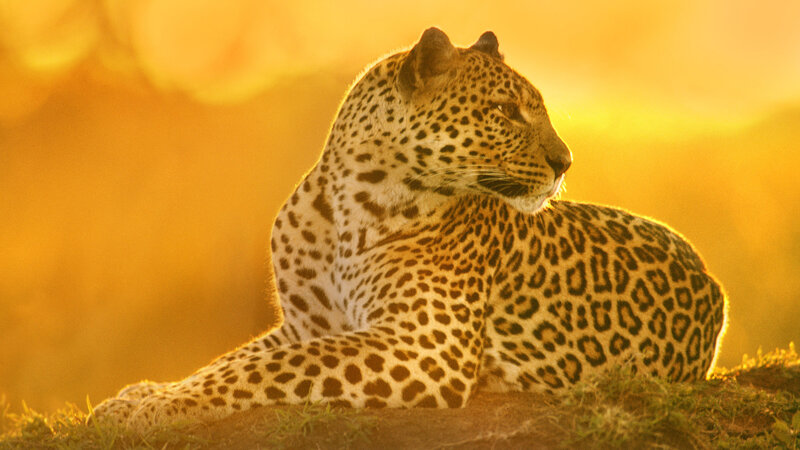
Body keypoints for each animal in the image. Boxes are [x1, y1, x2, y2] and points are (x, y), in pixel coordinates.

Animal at [92, 28, 728, 430]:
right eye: (506, 111)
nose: (565, 162)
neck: (344, 207)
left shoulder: (424, 345)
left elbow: (262, 368)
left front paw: (150, 410)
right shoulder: (305, 325)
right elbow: (229, 361)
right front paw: (143, 394)